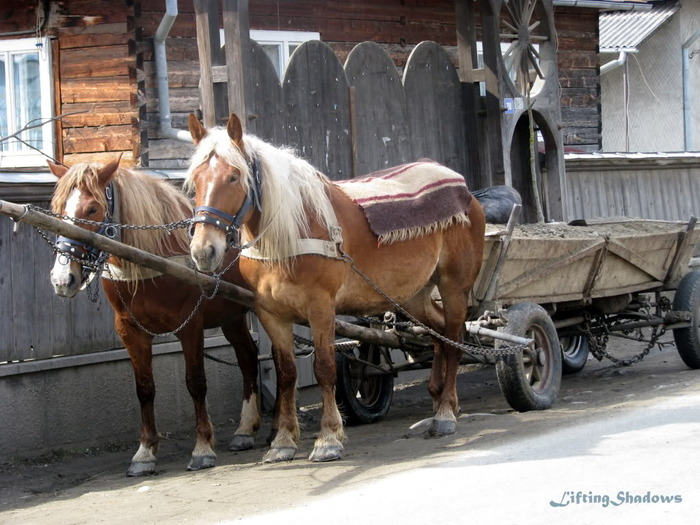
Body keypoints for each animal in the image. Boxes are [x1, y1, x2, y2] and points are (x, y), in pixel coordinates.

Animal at [47, 156, 260, 474]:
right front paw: (145, 452)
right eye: (57, 208)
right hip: (232, 316)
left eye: (93, 209)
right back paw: (246, 429)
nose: (63, 279)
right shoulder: (130, 330)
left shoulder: (190, 325)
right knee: (247, 356)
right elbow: (144, 388)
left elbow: (196, 382)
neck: (152, 258)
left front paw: (203, 447)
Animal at [183, 112, 484, 460]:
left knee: (453, 339)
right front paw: (283, 441)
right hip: (413, 295)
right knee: (437, 333)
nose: (204, 251)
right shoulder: (271, 314)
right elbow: (286, 373)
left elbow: (324, 368)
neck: (291, 233)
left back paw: (446, 411)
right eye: (194, 182)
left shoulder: (321, 309)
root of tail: (466, 193)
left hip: (453, 287)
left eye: (234, 177)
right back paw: (440, 399)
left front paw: (328, 438)